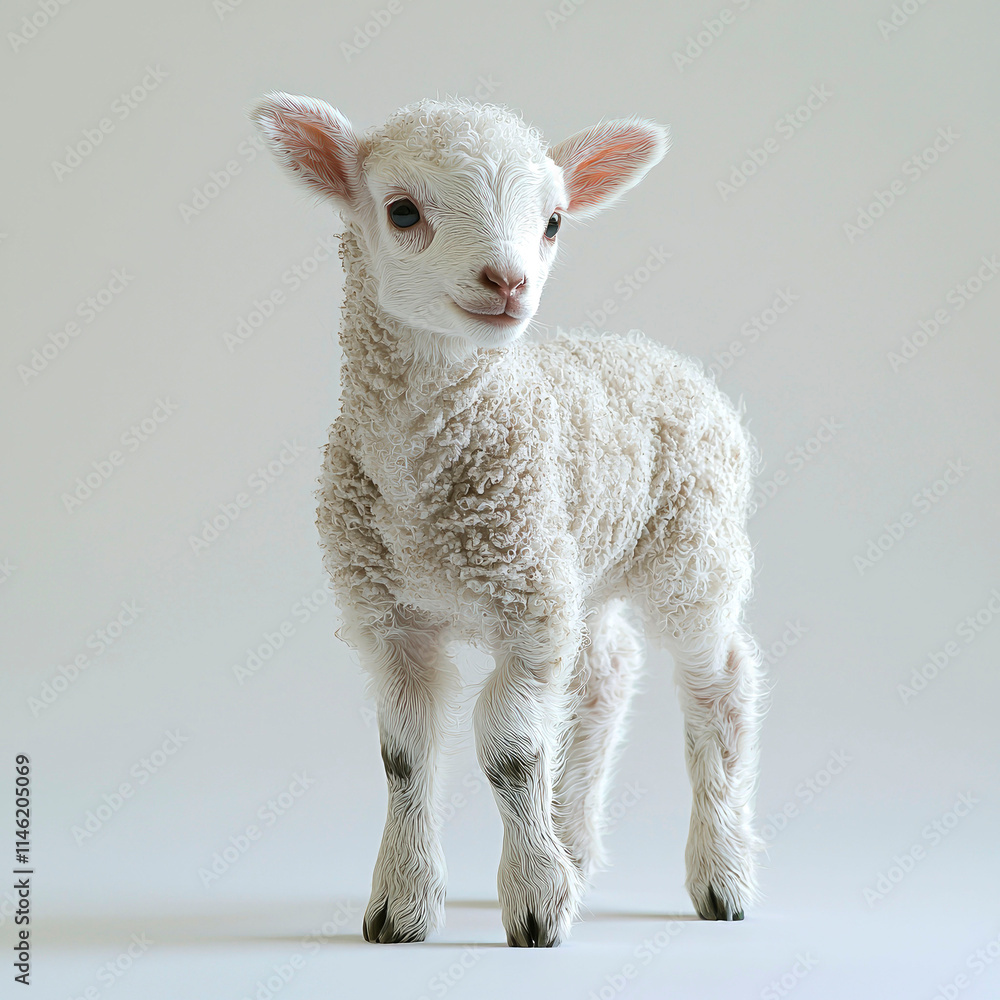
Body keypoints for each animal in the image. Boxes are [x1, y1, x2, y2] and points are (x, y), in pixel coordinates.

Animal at [250, 92, 764, 948]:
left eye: (553, 222)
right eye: (402, 211)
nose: (509, 279)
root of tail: (655, 353)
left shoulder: (526, 613)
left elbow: (511, 750)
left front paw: (535, 903)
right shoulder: (391, 617)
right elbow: (404, 754)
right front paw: (402, 905)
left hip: (691, 546)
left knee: (717, 679)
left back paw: (720, 876)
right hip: (579, 562)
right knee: (605, 673)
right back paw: (576, 845)